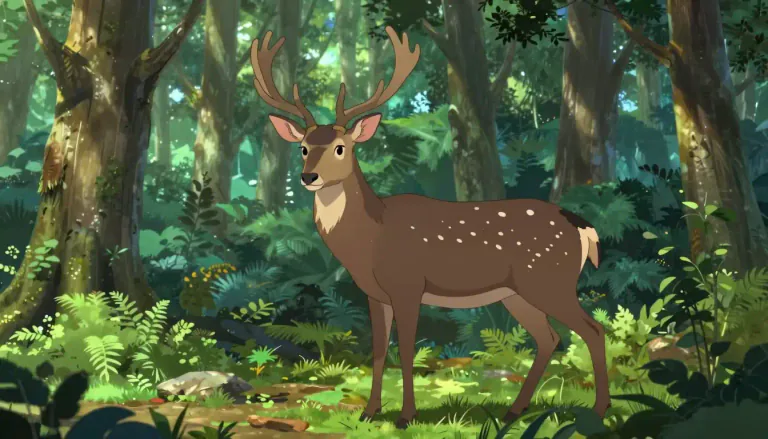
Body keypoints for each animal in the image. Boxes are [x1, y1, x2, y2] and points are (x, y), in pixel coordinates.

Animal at [250, 26, 610, 429]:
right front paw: (369, 412)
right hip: (517, 292)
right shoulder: (375, 294)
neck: (370, 240)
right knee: (548, 338)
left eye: (341, 147)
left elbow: (406, 349)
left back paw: (598, 411)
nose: (308, 176)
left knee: (593, 330)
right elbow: (378, 351)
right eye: (303, 147)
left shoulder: (408, 284)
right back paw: (515, 410)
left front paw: (407, 415)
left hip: (549, 280)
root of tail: (584, 229)